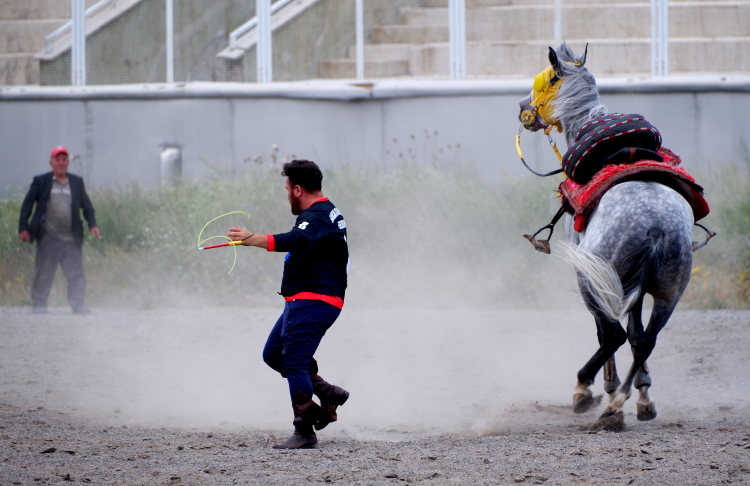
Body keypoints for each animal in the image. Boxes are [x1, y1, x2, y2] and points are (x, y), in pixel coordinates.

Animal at [524, 42, 700, 422]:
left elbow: (608, 333)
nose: (522, 108)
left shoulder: (599, 279)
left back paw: (590, 390)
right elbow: (636, 332)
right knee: (645, 338)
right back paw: (625, 400)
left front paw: (602, 387)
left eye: (544, 81)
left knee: (613, 335)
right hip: (670, 291)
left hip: (593, 279)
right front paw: (643, 393)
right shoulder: (638, 287)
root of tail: (655, 226)